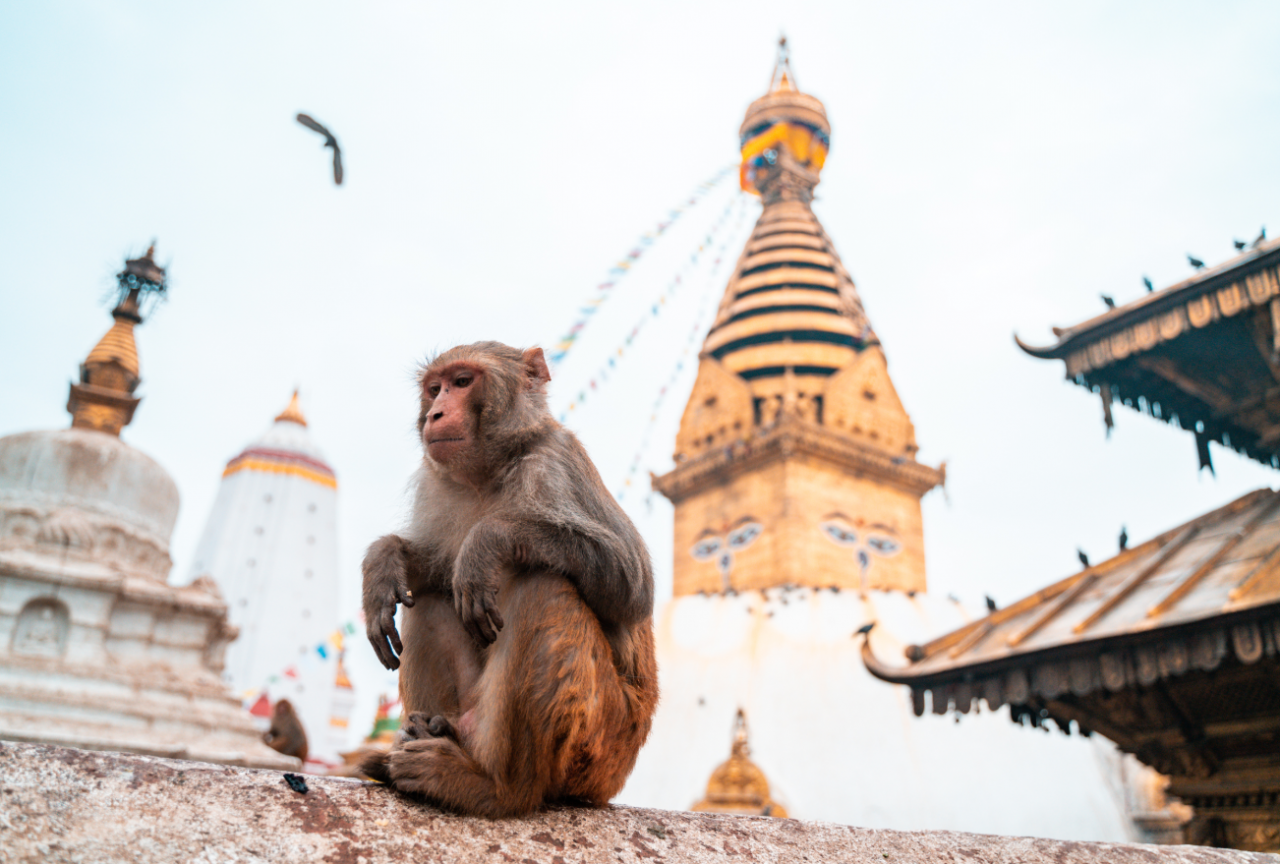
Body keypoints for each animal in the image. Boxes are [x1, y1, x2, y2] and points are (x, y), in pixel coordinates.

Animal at [360, 340, 660, 819]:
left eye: (463, 382)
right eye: (434, 389)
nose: (435, 414)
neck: (490, 471)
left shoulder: (556, 463)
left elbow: (632, 586)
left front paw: (488, 540)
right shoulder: (436, 485)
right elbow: (439, 573)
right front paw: (384, 561)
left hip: (600, 745)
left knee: (543, 586)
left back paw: (493, 787)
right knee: (429, 598)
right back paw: (436, 737)